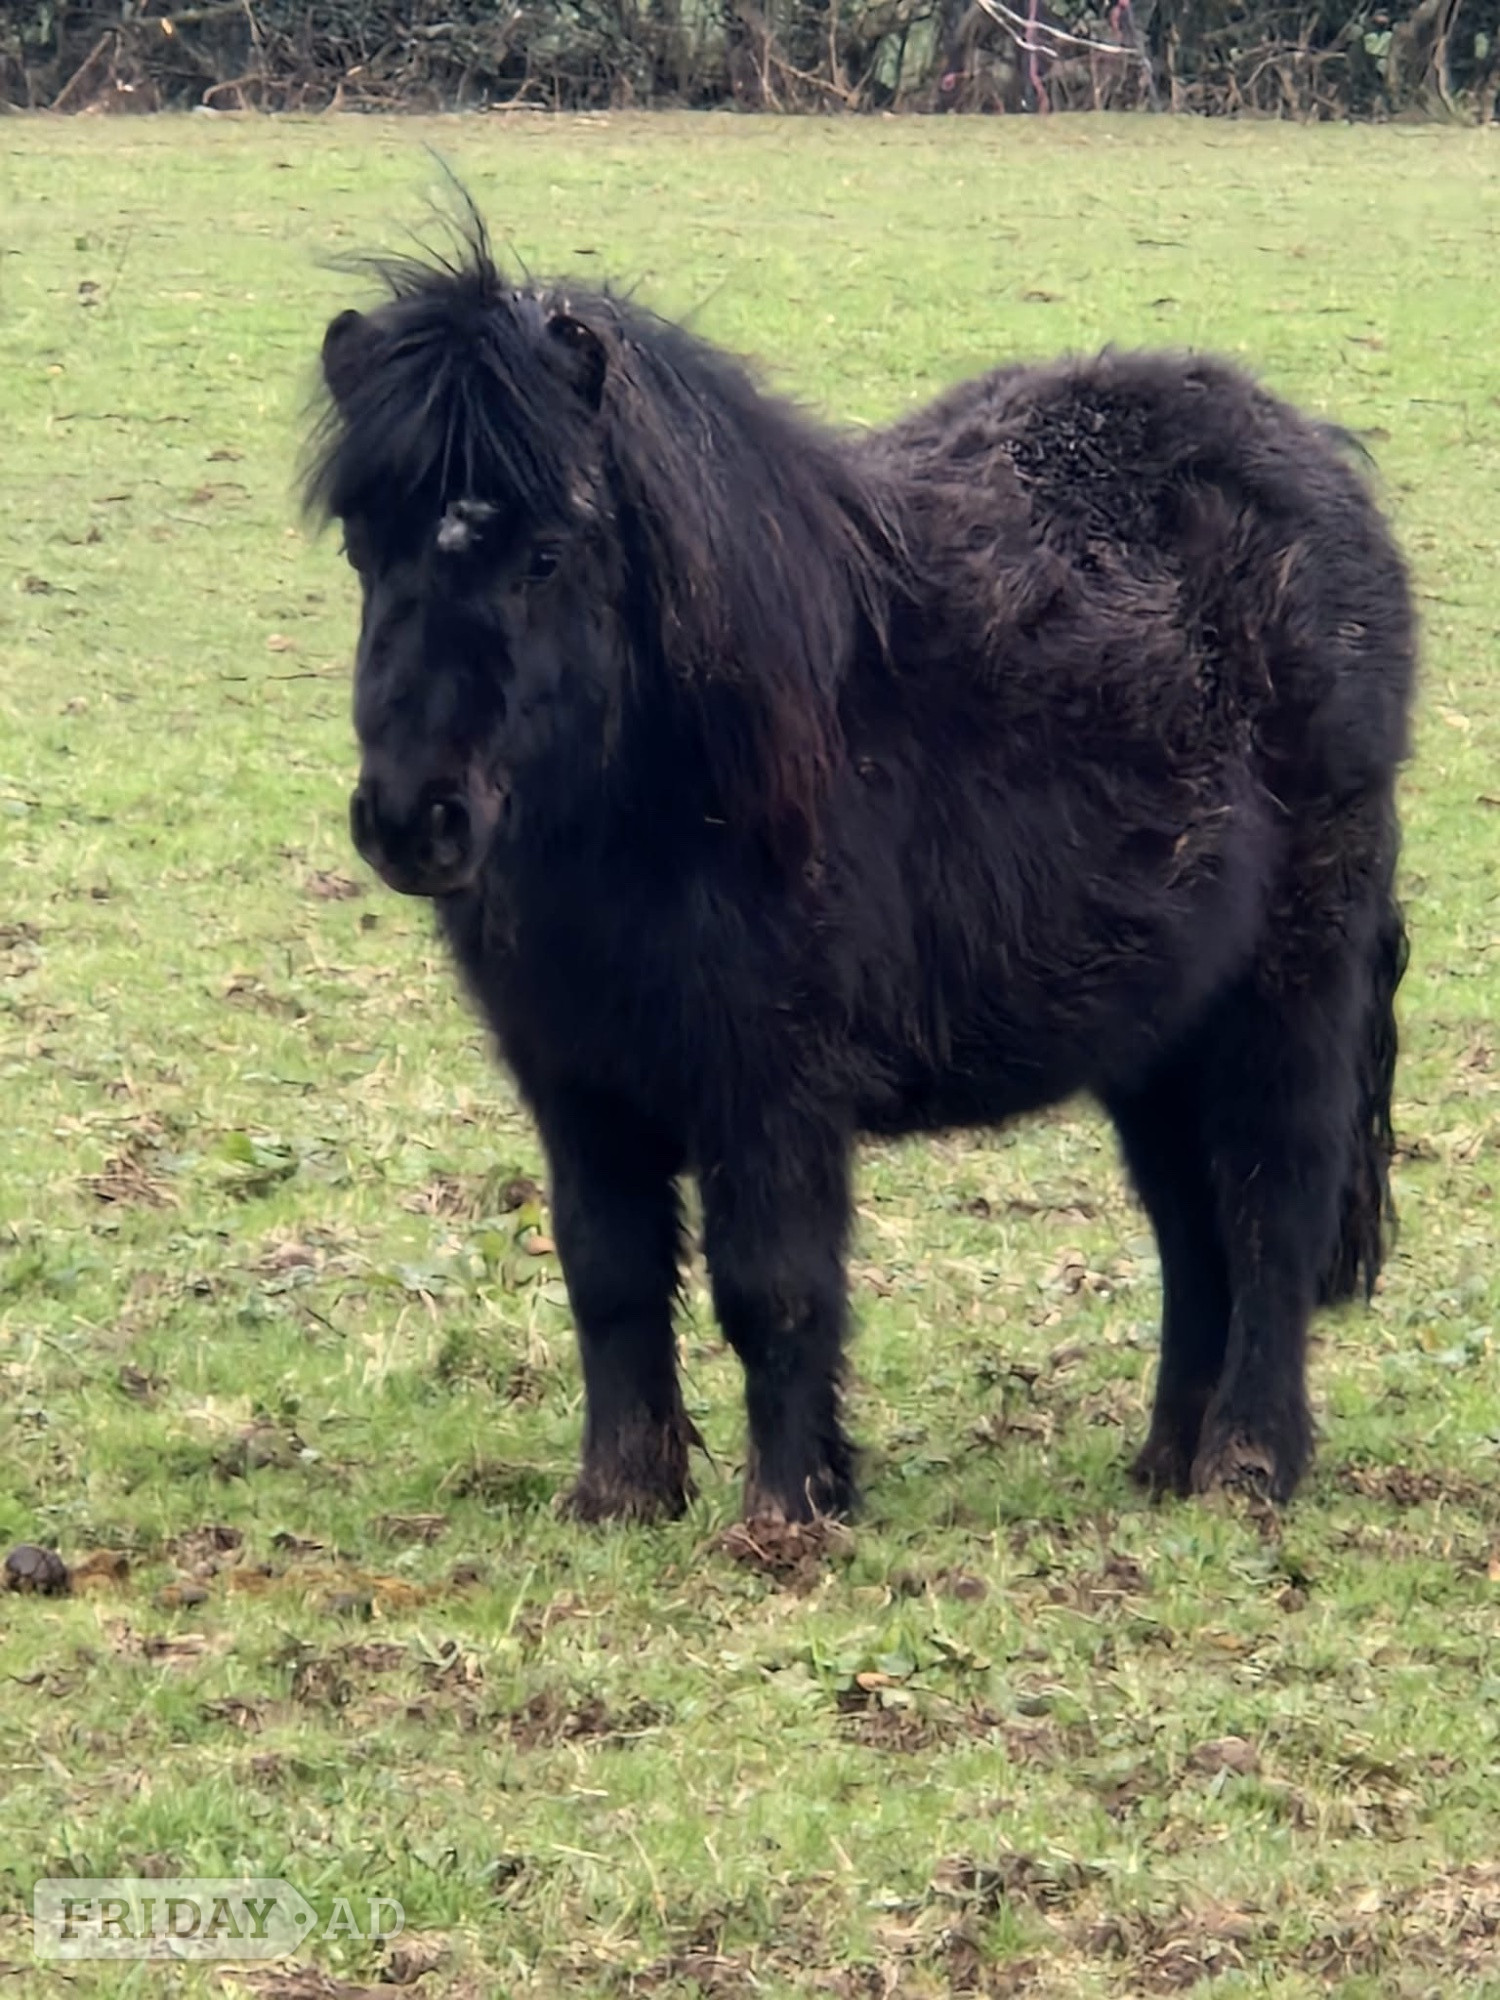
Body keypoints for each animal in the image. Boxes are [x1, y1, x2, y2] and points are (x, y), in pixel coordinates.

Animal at [305, 219, 1414, 1527]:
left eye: (544, 555)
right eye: (362, 545)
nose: (412, 818)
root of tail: (1319, 470)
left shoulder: (772, 1078)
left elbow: (772, 1286)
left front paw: (788, 1513)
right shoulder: (576, 1079)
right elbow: (609, 1277)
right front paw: (621, 1496)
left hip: (1288, 987)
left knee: (1270, 1204)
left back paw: (1248, 1467)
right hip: (1159, 1028)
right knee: (1193, 1232)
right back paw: (1162, 1465)